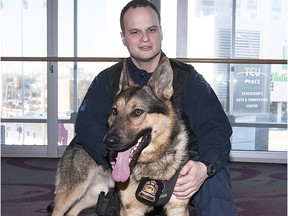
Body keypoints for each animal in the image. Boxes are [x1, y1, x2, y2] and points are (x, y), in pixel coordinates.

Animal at [50, 57, 189, 216]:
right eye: (115, 110)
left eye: (137, 112)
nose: (107, 142)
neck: (153, 162)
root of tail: (76, 139)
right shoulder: (130, 210)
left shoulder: (178, 208)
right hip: (70, 195)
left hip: (93, 194)